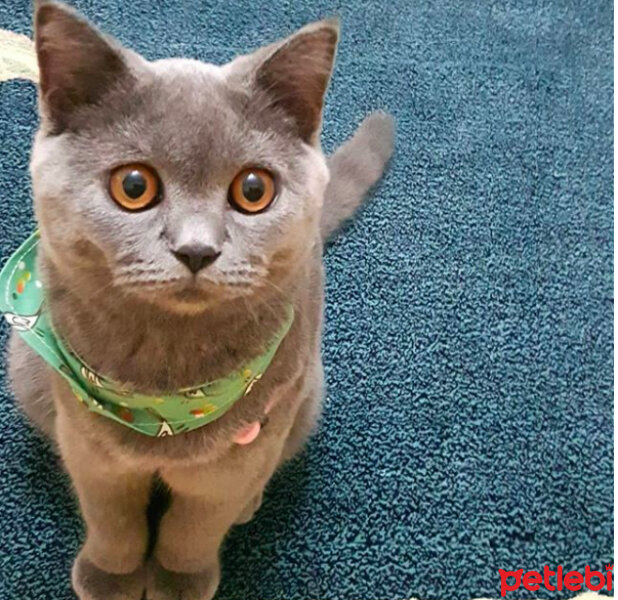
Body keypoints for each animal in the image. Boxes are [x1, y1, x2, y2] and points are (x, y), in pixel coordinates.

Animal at [6, 2, 394, 596]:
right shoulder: (91, 447)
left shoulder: (236, 457)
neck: (166, 388)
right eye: (134, 186)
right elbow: (110, 516)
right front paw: (110, 577)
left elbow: (196, 525)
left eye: (254, 190)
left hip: (306, 396)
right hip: (25, 370)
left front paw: (178, 580)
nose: (196, 249)